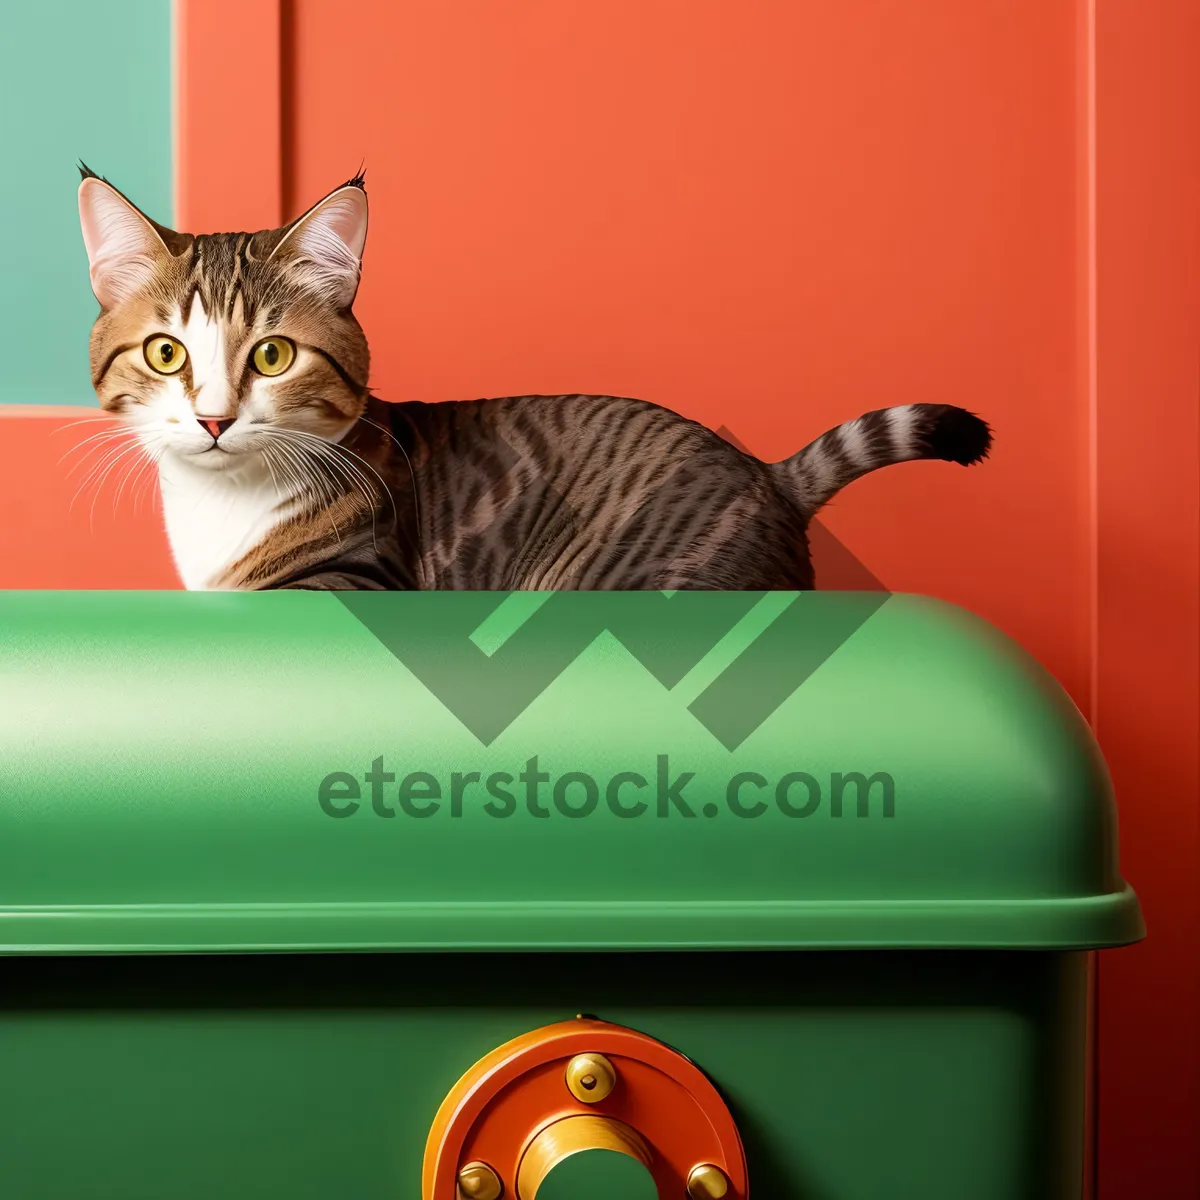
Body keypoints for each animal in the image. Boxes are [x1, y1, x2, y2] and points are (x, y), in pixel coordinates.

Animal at [77, 171, 993, 592]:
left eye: (271, 356)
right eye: (167, 354)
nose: (214, 420)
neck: (220, 514)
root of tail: (768, 475)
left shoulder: (362, 577)